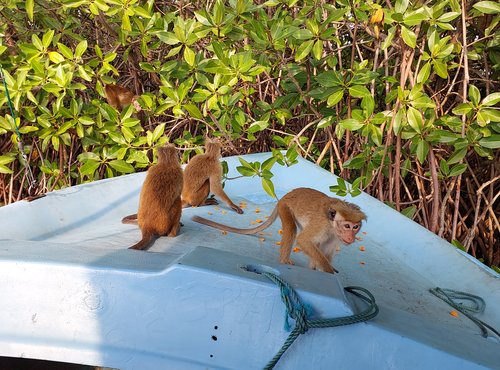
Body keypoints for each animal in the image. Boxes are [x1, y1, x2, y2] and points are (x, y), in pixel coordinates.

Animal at [190, 188, 364, 272]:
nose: (351, 237)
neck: (332, 226)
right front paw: (329, 271)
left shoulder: (333, 237)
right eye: (347, 226)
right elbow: (304, 240)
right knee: (292, 230)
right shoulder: (320, 225)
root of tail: (287, 195)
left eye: (355, 227)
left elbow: (324, 251)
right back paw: (284, 261)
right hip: (285, 208)